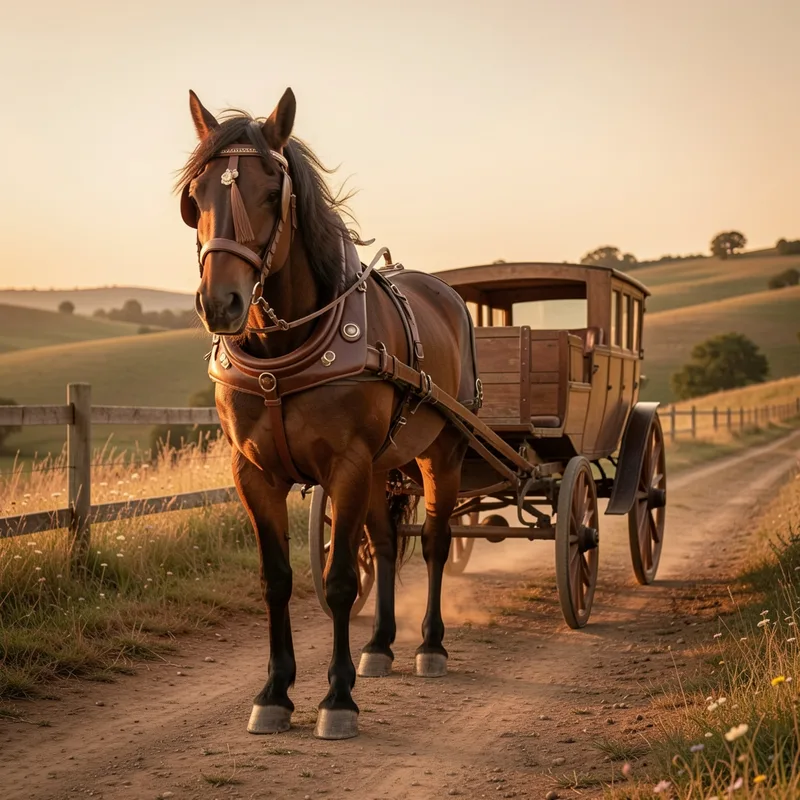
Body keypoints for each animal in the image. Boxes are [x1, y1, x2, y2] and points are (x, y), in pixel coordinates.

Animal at [177, 87, 480, 740]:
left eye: (273, 192)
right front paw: (274, 692)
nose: (221, 303)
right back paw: (382, 645)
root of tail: (445, 291)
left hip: (440, 453)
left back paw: (430, 645)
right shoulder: (254, 473)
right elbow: (277, 580)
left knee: (436, 542)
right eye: (197, 197)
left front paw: (337, 699)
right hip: (384, 466)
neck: (281, 356)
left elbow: (340, 582)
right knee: (386, 545)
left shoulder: (347, 466)